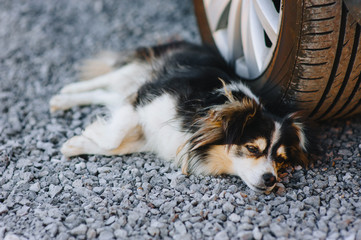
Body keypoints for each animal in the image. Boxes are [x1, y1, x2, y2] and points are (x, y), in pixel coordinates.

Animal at [50, 40, 312, 191]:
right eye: (252, 148)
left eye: (280, 159)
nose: (271, 179)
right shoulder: (147, 95)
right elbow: (113, 138)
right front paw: (89, 133)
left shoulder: (150, 135)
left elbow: (117, 146)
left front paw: (76, 144)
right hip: (138, 72)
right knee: (104, 81)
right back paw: (66, 93)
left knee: (108, 95)